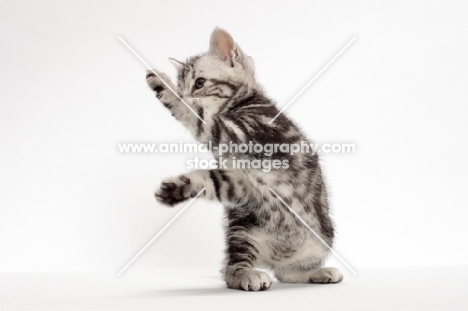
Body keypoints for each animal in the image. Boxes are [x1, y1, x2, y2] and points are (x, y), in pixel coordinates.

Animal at [146, 28, 344, 292]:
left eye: (199, 83)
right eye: (183, 85)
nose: (185, 93)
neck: (245, 103)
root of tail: (271, 258)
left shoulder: (243, 138)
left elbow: (200, 117)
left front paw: (165, 88)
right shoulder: (241, 185)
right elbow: (211, 180)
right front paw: (177, 188)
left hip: (321, 237)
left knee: (287, 272)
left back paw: (316, 272)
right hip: (242, 227)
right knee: (236, 268)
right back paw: (245, 274)